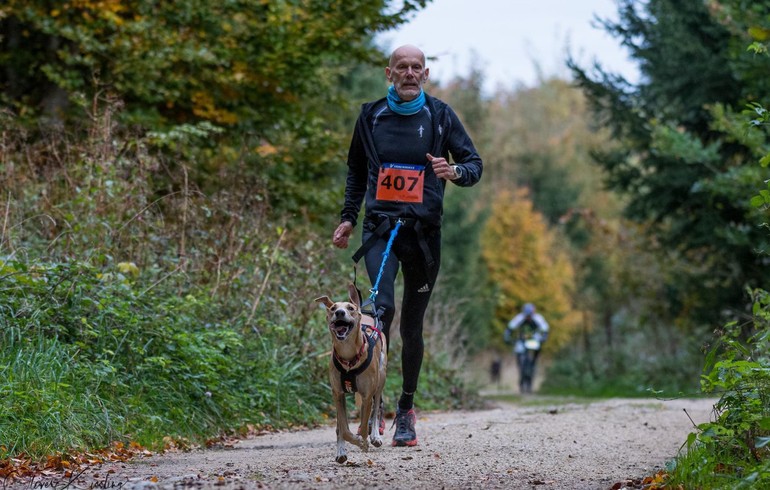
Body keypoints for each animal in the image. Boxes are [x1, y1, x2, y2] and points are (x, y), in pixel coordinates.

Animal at [312, 284, 384, 464]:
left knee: (376, 408)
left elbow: (364, 425)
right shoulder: (338, 394)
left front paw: (363, 441)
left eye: (350, 308)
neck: (349, 357)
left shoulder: (366, 395)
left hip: (380, 380)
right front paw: (345, 449)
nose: (339, 313)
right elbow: (342, 428)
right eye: (332, 308)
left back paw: (375, 436)